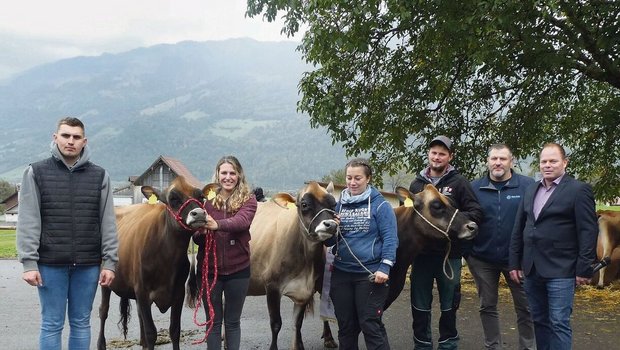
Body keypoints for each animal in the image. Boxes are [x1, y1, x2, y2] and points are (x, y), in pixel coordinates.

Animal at [246, 182, 336, 350]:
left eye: (333, 204)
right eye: (304, 204)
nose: (331, 225)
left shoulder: (304, 291)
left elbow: (297, 324)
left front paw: (297, 345)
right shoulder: (272, 286)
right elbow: (276, 324)